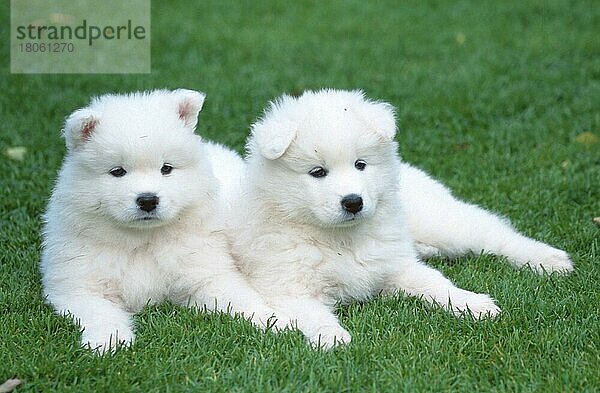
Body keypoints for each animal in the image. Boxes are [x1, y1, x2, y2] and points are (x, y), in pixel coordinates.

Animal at [39, 89, 278, 352]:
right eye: (117, 171)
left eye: (166, 168)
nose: (147, 200)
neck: (142, 241)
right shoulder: (79, 286)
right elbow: (100, 313)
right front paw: (110, 340)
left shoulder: (205, 272)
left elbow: (237, 295)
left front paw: (270, 320)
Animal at [229, 88, 572, 346]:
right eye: (317, 172)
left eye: (360, 165)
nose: (353, 202)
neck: (342, 239)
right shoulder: (286, 287)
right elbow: (312, 314)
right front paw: (332, 336)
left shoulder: (396, 265)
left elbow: (438, 284)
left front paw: (473, 304)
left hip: (437, 221)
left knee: (492, 231)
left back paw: (549, 260)